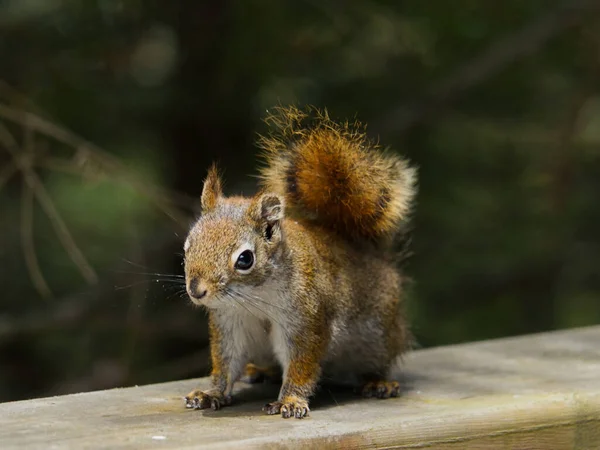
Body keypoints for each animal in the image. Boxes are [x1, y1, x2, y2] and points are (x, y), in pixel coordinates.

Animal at [183, 105, 418, 418]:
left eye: (245, 259)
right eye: (188, 245)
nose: (196, 290)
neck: (254, 296)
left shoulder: (308, 319)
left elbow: (301, 365)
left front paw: (291, 401)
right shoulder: (230, 323)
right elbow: (226, 362)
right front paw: (211, 393)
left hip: (379, 337)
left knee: (376, 364)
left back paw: (379, 382)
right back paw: (260, 371)